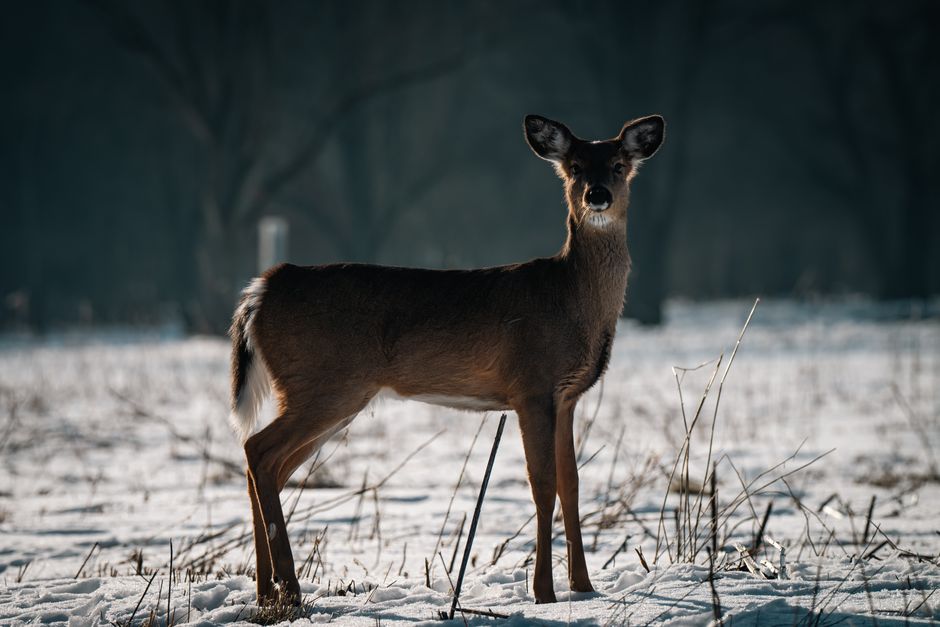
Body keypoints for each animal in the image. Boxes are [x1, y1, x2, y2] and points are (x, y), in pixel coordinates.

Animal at [228, 113, 665, 606]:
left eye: (618, 164)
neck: (571, 298)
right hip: (322, 383)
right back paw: (289, 586)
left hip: (331, 394)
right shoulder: (531, 386)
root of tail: (262, 289)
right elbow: (542, 484)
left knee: (268, 466)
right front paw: (544, 593)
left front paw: (584, 588)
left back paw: (266, 591)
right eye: (573, 167)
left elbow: (571, 483)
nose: (597, 195)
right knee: (257, 450)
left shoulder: (567, 396)